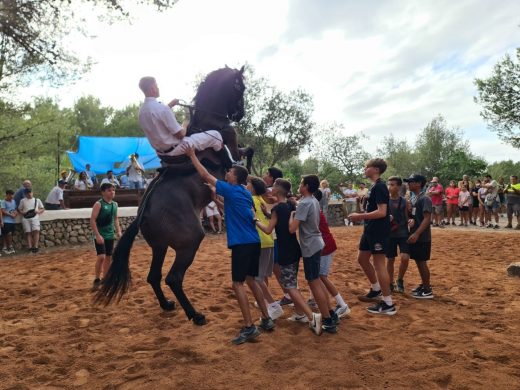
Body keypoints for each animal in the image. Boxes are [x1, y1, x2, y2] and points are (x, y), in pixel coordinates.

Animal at [95, 67, 250, 326]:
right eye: (240, 87)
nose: (240, 114)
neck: (209, 121)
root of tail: (143, 213)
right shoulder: (231, 146)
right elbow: (247, 152)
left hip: (159, 246)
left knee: (153, 276)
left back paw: (167, 304)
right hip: (190, 242)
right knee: (173, 278)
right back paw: (195, 315)